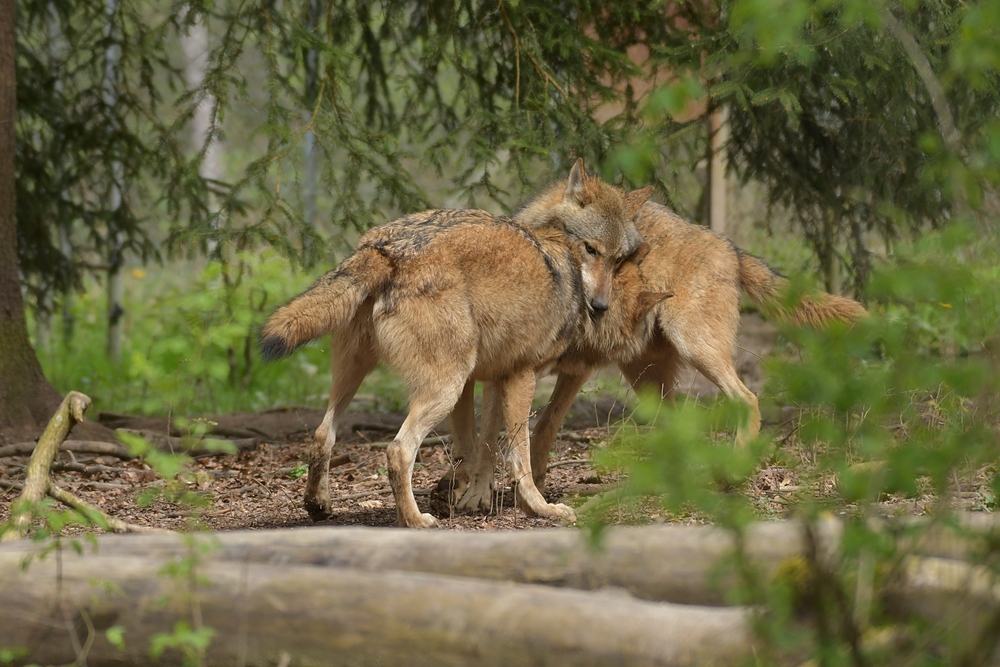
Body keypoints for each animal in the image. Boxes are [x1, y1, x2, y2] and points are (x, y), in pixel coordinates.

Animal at [442, 201, 864, 508]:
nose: (597, 309)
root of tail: (729, 246)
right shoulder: (525, 373)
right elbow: (504, 435)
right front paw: (485, 492)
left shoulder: (568, 369)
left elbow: (530, 430)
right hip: (646, 377)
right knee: (679, 428)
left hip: (692, 347)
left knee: (747, 399)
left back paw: (729, 475)